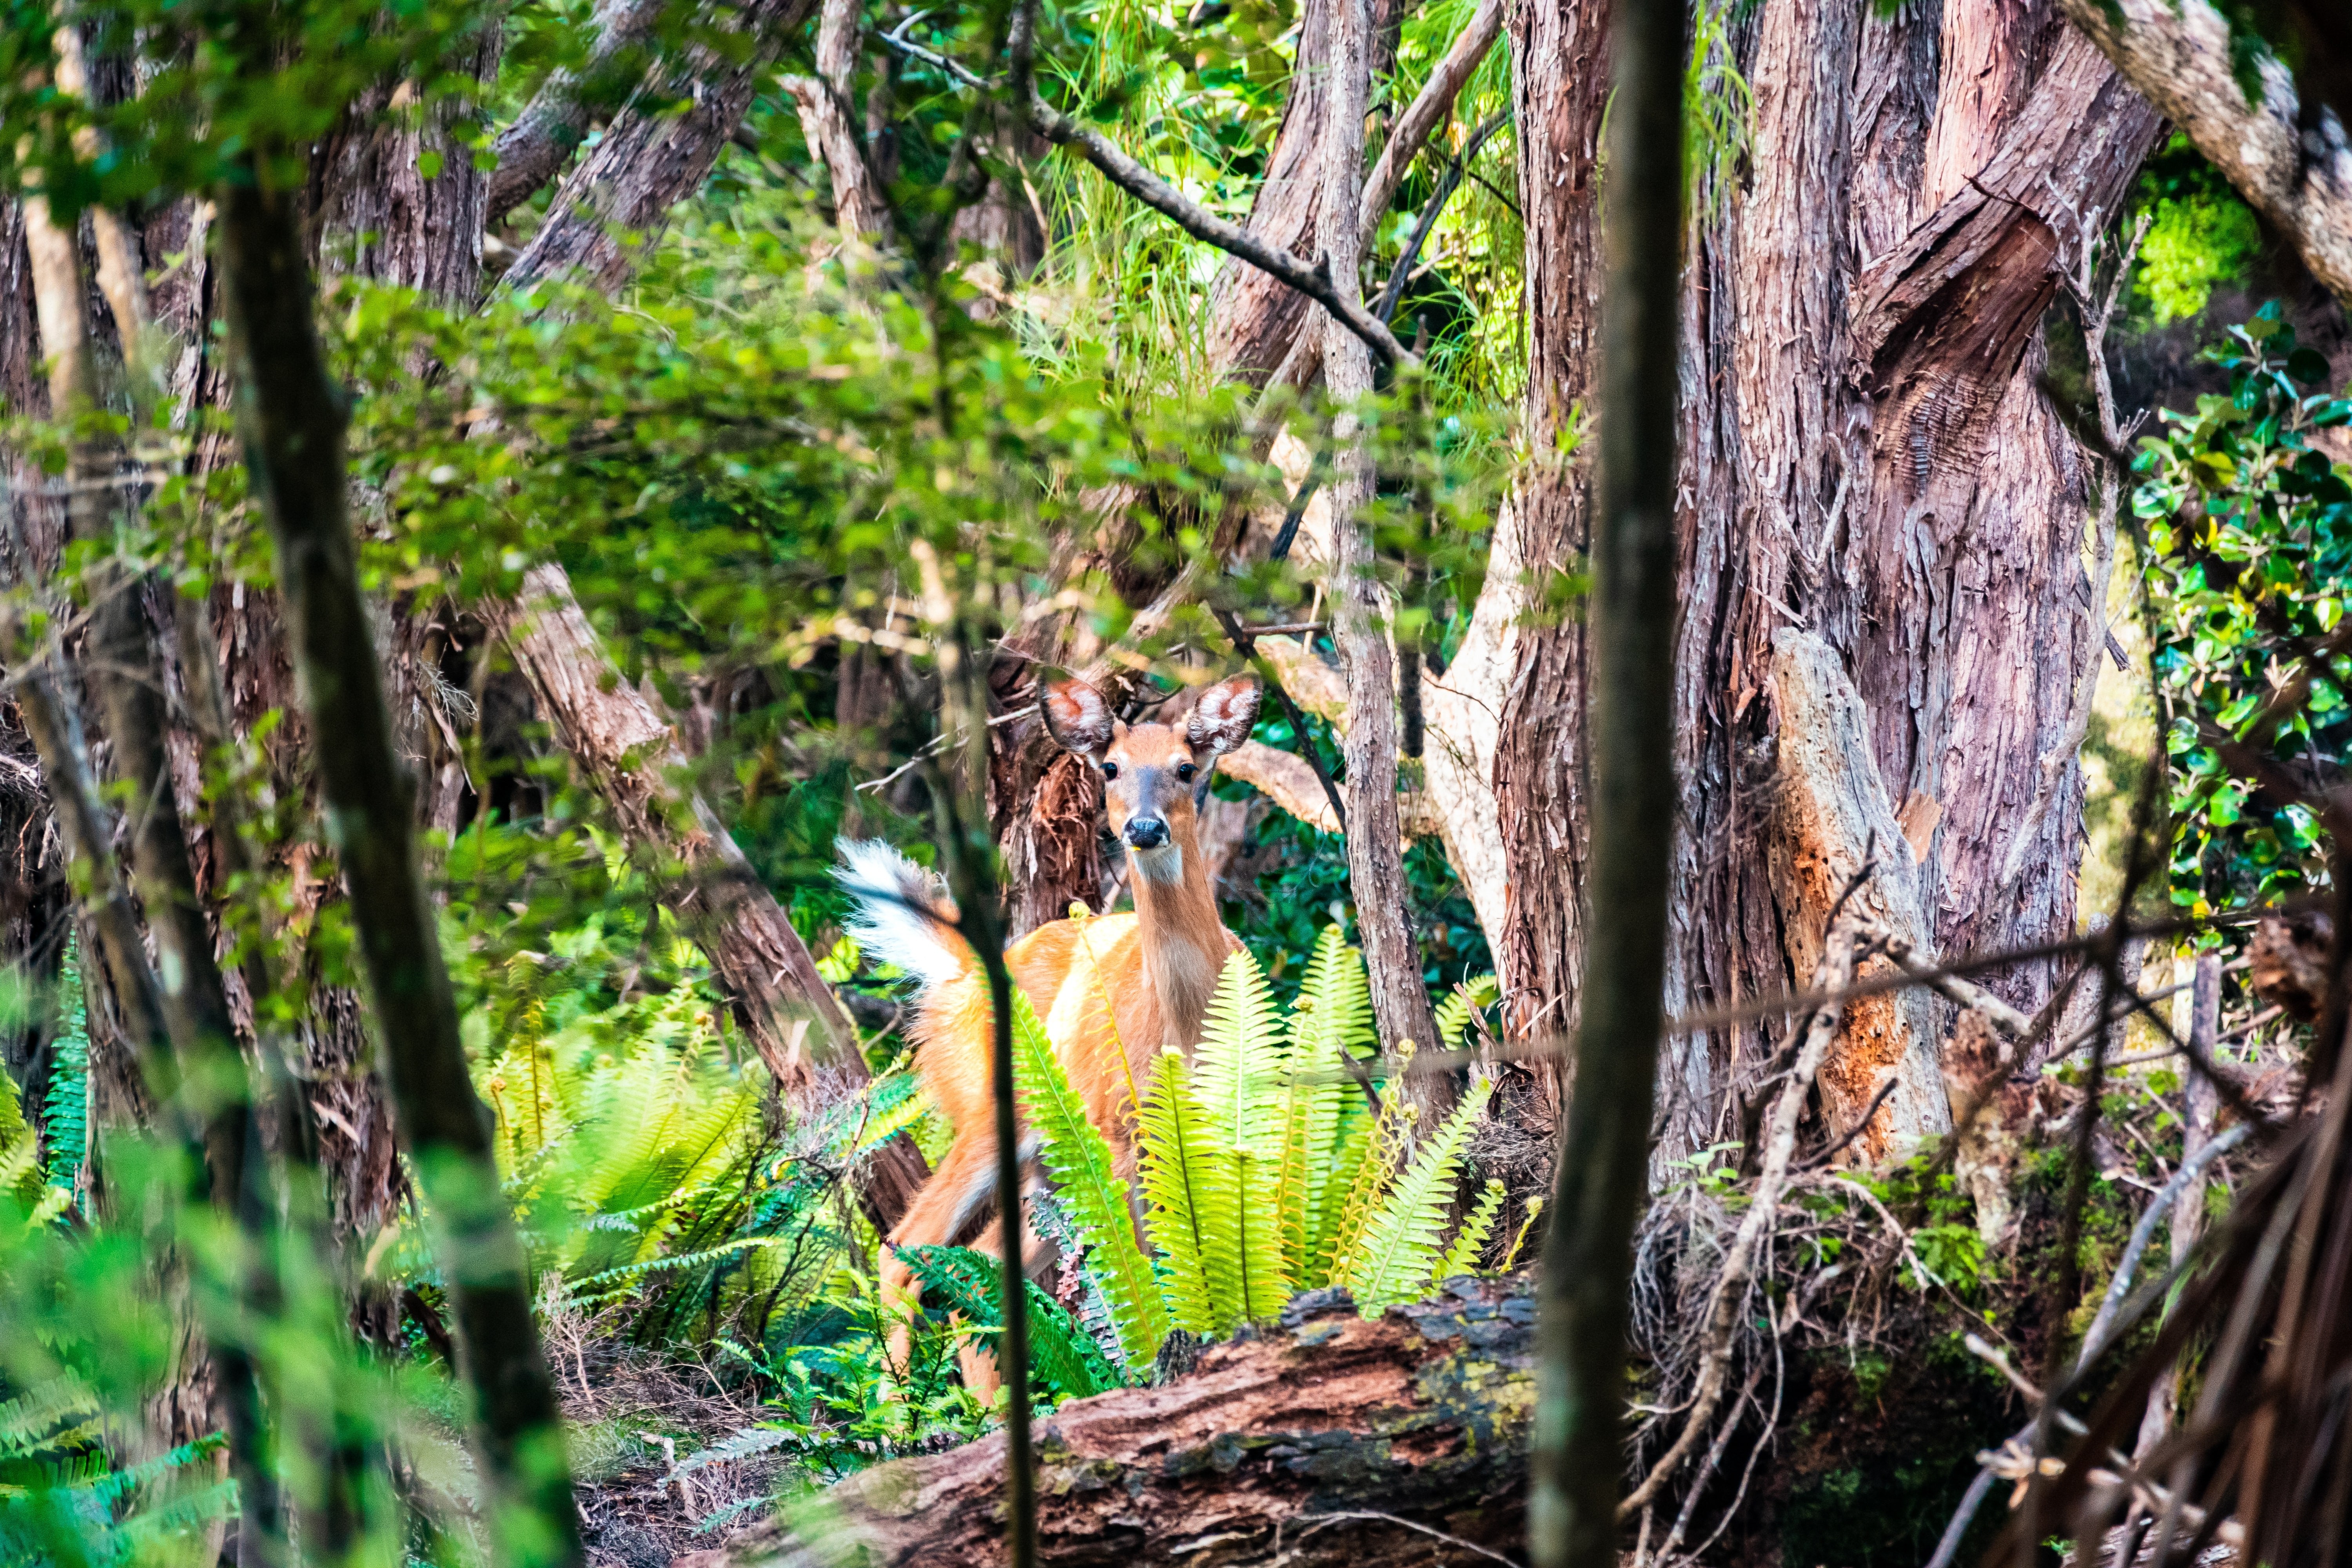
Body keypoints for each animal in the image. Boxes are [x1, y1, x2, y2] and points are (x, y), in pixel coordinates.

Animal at [835, 673, 1261, 1392]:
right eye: (1111, 768)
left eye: (1186, 769)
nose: (1144, 827)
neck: (1186, 1026)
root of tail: (965, 971)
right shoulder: (1120, 1128)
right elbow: (1144, 1285)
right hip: (996, 1115)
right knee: (906, 1249)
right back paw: (901, 1413)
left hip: (1053, 1164)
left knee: (978, 1265)